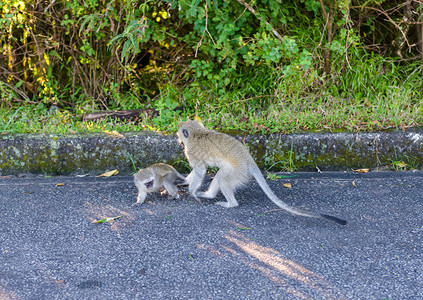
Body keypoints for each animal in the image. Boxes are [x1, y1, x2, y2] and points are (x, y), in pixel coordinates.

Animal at [178, 119, 348, 225]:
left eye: (180, 134)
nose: (179, 140)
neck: (196, 132)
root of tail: (248, 159)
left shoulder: (191, 151)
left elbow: (200, 170)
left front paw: (192, 192)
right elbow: (198, 170)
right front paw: (185, 181)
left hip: (238, 171)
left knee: (223, 178)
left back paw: (230, 203)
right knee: (221, 176)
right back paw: (210, 195)